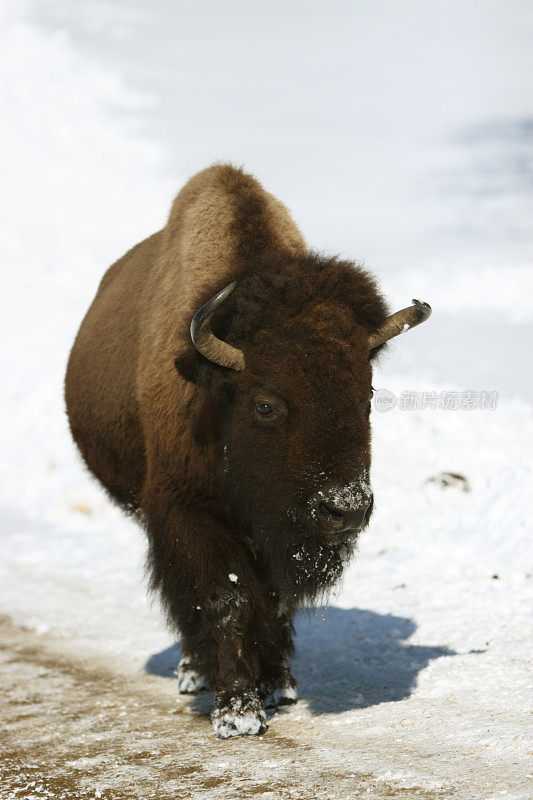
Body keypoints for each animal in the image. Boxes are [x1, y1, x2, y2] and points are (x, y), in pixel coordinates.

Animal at [64, 162, 430, 736]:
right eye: (265, 405)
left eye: (367, 394)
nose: (345, 509)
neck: (215, 395)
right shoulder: (186, 511)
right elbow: (223, 600)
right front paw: (238, 712)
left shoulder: (275, 533)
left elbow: (273, 602)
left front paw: (277, 685)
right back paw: (194, 673)